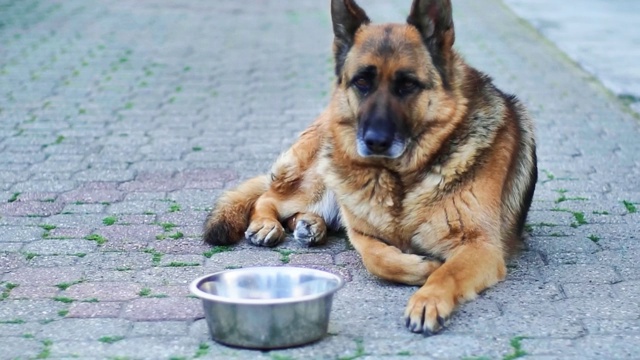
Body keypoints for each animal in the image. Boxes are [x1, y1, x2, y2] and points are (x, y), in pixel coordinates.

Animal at [202, 0, 536, 334]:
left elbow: (447, 272)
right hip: (321, 175)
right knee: (268, 197)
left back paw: (310, 225)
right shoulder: (362, 233)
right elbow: (379, 259)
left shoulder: (482, 247)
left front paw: (428, 299)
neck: (401, 179)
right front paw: (422, 268)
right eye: (361, 82)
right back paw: (268, 223)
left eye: (408, 84)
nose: (374, 141)